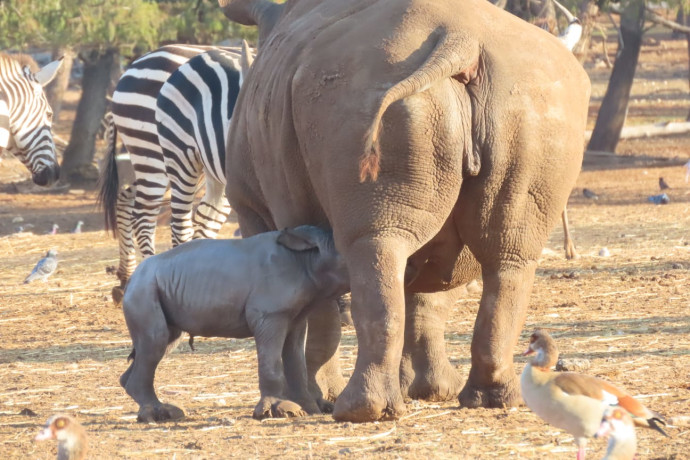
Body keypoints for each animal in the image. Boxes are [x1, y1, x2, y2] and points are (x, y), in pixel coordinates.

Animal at [117, 225, 350, 422]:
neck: (308, 258)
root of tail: (132, 279)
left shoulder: (295, 318)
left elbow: (296, 361)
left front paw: (307, 410)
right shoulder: (269, 314)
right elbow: (271, 361)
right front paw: (275, 411)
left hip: (154, 285)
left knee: (163, 343)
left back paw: (165, 412)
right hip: (143, 288)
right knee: (155, 341)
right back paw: (156, 416)